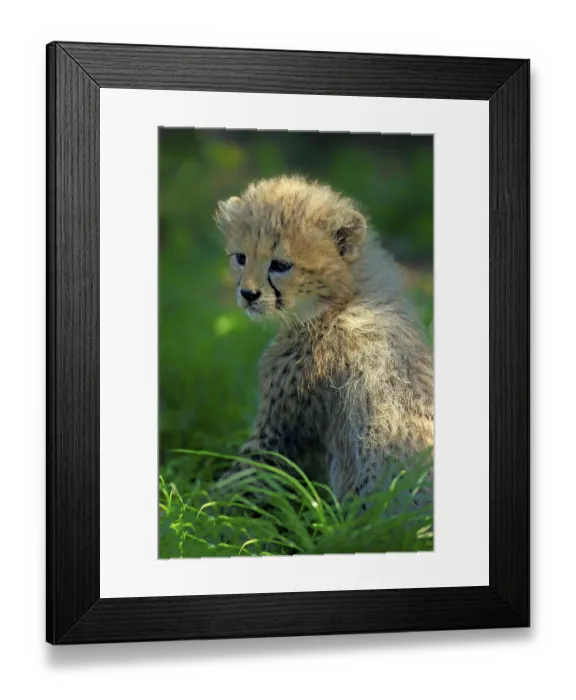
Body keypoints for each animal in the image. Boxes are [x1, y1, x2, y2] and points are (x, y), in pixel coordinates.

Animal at [215, 175, 433, 505]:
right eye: (241, 258)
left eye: (280, 265)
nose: (248, 294)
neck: (343, 300)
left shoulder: (279, 433)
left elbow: (238, 483)